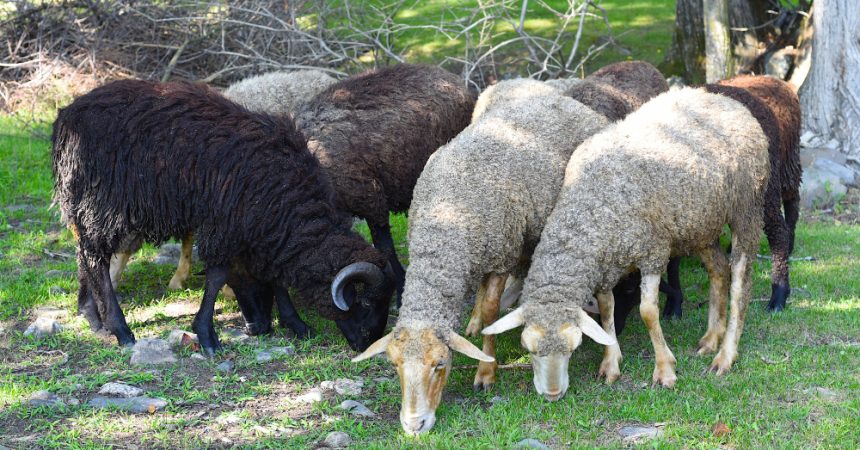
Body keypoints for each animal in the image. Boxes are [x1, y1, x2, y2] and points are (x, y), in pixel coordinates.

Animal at [52, 79, 394, 354]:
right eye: (365, 301)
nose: (367, 343)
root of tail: (67, 117)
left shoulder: (263, 228)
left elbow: (275, 277)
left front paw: (294, 323)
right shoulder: (225, 223)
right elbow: (217, 276)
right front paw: (206, 336)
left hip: (86, 204)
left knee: (84, 252)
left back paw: (92, 317)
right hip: (104, 203)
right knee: (96, 257)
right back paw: (120, 329)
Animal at [351, 78, 611, 435]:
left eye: (441, 364)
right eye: (395, 364)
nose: (415, 425)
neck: (447, 218)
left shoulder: (500, 256)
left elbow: (491, 310)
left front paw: (486, 373)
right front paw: (475, 326)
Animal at [483, 87, 771, 400]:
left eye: (575, 346)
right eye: (528, 348)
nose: (552, 394)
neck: (589, 209)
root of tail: (720, 97)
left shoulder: (654, 252)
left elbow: (647, 312)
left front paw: (665, 370)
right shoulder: (608, 262)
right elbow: (607, 308)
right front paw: (611, 363)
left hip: (747, 208)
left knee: (740, 284)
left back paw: (725, 355)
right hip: (699, 223)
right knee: (718, 269)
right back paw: (710, 338)